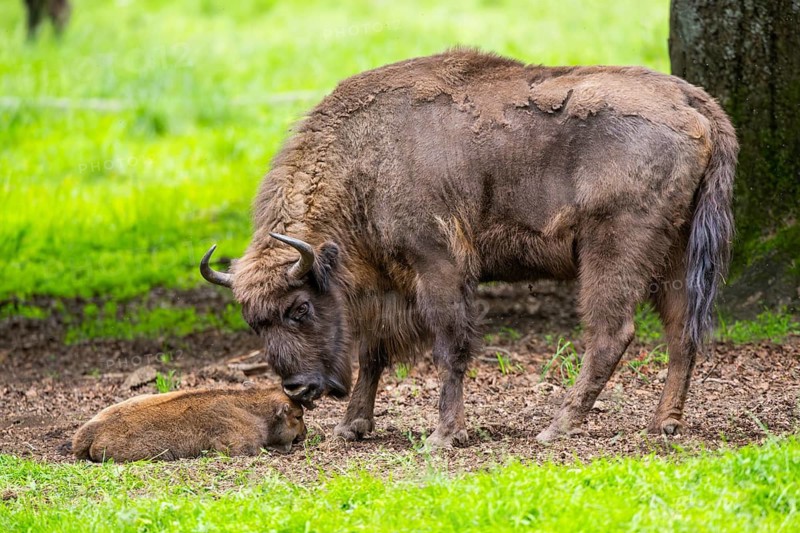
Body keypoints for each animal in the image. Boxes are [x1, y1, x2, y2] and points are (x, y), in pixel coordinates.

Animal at [201, 49, 736, 448]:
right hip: (675, 254)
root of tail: (689, 99)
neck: (362, 162)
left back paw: (556, 428)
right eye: (254, 322)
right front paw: (351, 427)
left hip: (614, 250)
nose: (298, 388)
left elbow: (449, 345)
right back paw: (663, 424)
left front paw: (444, 436)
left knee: (611, 333)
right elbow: (373, 353)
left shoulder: (438, 266)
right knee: (681, 331)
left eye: (299, 308)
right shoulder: (384, 288)